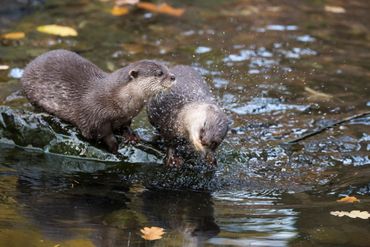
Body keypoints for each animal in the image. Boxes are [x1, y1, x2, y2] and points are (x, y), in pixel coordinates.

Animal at [21, 49, 176, 153]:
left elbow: (126, 125)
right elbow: (103, 133)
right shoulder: (95, 117)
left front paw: (131, 136)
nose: (173, 77)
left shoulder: (127, 116)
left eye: (167, 68)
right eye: (159, 73)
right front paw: (114, 147)